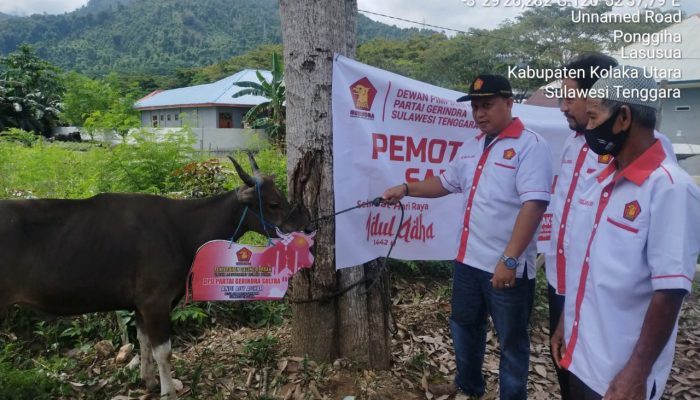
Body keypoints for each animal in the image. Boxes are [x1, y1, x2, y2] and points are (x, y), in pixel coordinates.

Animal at [0, 154, 308, 400]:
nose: (302, 224)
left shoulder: (140, 304)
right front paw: (168, 391)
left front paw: (148, 381)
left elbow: (143, 340)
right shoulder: (155, 301)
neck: (180, 230)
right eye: (273, 203)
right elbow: (164, 351)